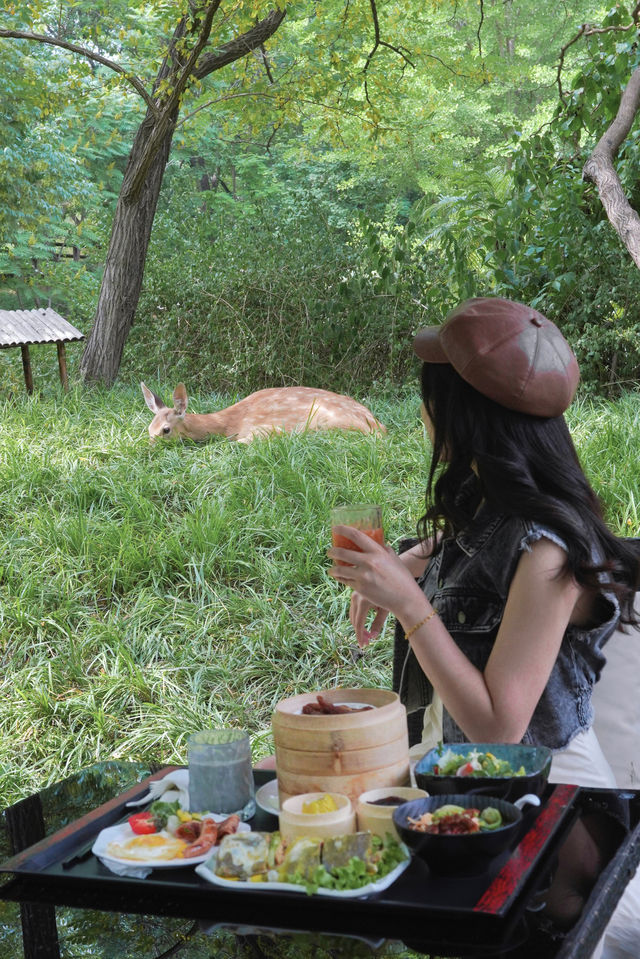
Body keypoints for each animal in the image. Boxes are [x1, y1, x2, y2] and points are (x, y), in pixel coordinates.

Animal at [140, 380, 384, 444]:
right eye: (149, 429)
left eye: (166, 430)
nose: (150, 447)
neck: (229, 424)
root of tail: (378, 426)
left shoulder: (263, 429)